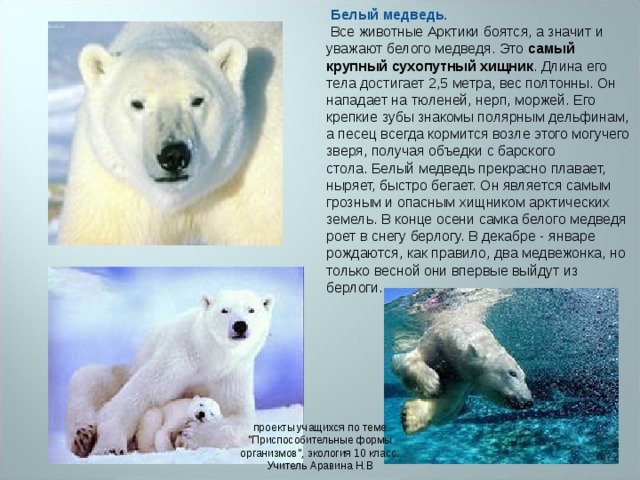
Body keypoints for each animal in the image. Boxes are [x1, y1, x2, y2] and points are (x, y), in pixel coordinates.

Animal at [66, 289, 274, 456]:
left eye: (251, 310)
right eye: (224, 310)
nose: (240, 325)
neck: (209, 357)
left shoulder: (231, 374)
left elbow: (242, 419)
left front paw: (189, 435)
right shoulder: (179, 357)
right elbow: (136, 398)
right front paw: (109, 448)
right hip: (122, 374)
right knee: (89, 378)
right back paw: (83, 437)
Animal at [391, 289, 533, 434]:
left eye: (524, 377)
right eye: (512, 373)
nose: (528, 401)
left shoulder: (461, 378)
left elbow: (449, 403)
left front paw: (410, 417)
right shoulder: (436, 342)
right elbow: (405, 359)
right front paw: (431, 384)